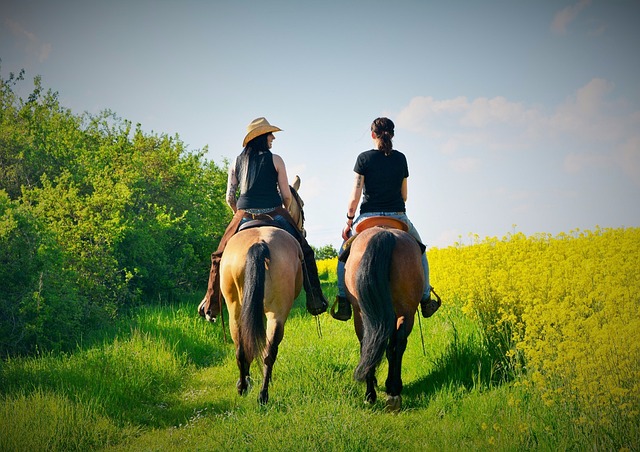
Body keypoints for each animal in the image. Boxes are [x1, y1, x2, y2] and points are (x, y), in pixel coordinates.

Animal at [342, 224, 428, 412]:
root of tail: (384, 234)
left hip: (362, 312)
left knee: (368, 344)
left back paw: (371, 394)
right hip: (406, 311)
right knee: (397, 344)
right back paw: (393, 390)